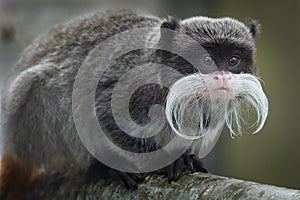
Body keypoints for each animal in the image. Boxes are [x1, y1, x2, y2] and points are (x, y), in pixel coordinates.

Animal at [0, 9, 268, 198]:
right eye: (206, 60)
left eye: (233, 60)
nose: (223, 78)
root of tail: (16, 145)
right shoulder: (135, 86)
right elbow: (104, 116)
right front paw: (164, 161)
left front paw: (185, 156)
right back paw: (100, 166)